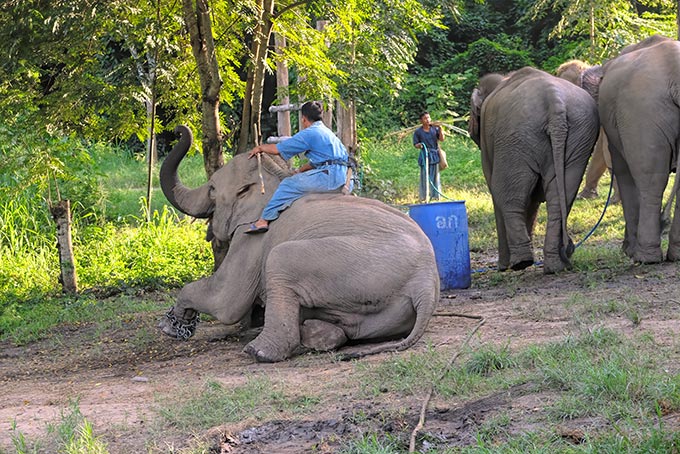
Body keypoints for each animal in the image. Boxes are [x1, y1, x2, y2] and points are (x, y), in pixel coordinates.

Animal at [157, 124, 438, 362]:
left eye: (213, 189)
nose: (178, 129)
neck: (275, 177)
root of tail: (426, 283)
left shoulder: (252, 238)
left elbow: (227, 300)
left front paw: (169, 326)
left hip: (353, 268)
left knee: (280, 259)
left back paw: (258, 352)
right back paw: (316, 334)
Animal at [470, 66, 596, 274]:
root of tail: (554, 101)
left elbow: (498, 192)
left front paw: (502, 267)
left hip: (515, 136)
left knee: (510, 196)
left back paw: (521, 263)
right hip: (579, 136)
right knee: (561, 197)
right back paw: (555, 266)